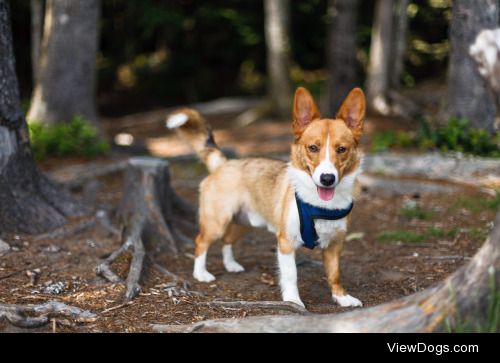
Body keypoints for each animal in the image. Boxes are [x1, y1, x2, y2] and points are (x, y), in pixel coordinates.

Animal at [166, 86, 366, 308]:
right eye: (313, 148)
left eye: (342, 149)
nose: (327, 179)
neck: (319, 205)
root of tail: (225, 163)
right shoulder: (286, 243)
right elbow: (291, 275)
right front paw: (293, 301)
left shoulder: (335, 244)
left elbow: (335, 274)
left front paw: (341, 297)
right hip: (216, 223)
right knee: (201, 242)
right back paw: (201, 273)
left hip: (244, 223)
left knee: (227, 240)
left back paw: (231, 265)